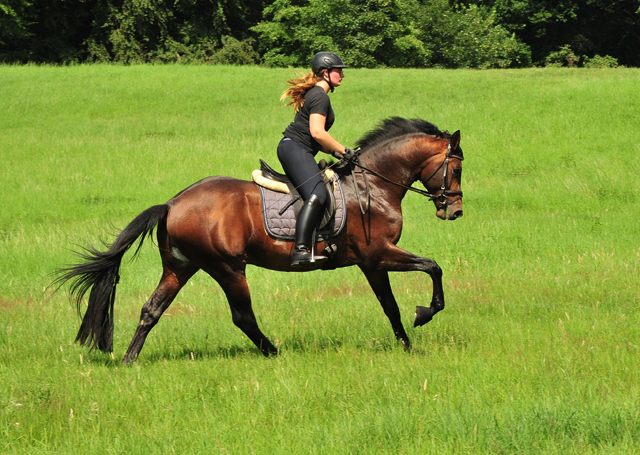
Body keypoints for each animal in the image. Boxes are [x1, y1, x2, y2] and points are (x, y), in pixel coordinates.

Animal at [55, 116, 462, 364]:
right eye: (456, 168)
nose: (454, 212)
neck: (373, 185)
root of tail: (172, 203)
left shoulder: (371, 263)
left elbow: (390, 305)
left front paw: (407, 345)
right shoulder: (378, 254)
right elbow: (433, 268)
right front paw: (425, 314)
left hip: (180, 267)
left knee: (151, 309)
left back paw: (129, 360)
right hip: (227, 267)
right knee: (243, 316)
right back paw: (274, 352)